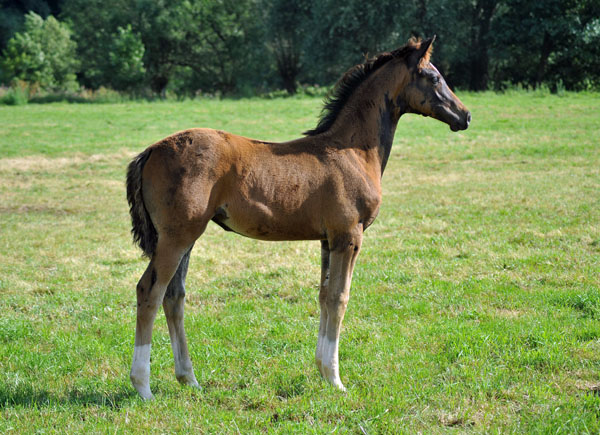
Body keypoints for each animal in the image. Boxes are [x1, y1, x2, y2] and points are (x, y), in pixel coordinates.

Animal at [129, 37, 472, 398]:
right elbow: (339, 297)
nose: (465, 115)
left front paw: (322, 370)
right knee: (149, 292)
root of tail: (150, 151)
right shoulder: (349, 236)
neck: (353, 150)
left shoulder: (327, 240)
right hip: (176, 237)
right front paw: (335, 379)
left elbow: (323, 295)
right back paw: (143, 386)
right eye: (433, 77)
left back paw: (189, 379)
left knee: (174, 296)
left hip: (186, 237)